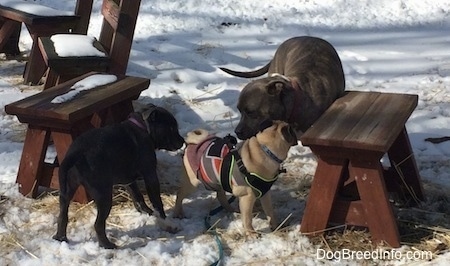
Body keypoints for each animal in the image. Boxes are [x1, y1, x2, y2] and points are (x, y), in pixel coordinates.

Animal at [53, 105, 185, 248]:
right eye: (171, 128)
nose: (182, 141)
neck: (143, 127)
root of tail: (76, 153)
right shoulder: (150, 175)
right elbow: (157, 202)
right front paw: (166, 222)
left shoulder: (129, 180)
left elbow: (138, 197)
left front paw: (147, 213)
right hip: (103, 194)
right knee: (98, 224)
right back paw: (107, 245)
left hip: (67, 190)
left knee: (62, 216)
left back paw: (60, 238)